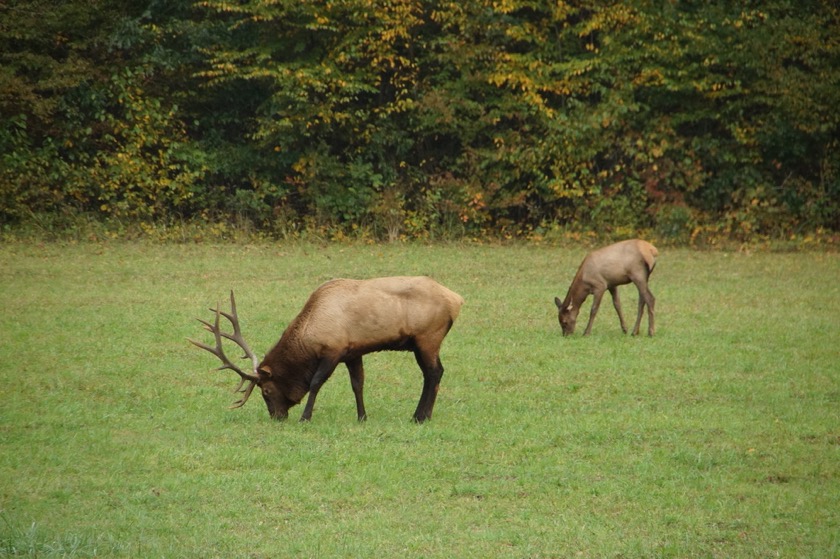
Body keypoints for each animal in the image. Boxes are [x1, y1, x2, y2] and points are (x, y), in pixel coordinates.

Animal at [189, 276, 466, 424]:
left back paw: (420, 416)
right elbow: (358, 384)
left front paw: (305, 417)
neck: (309, 337)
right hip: (426, 341)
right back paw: (421, 415)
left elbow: (315, 382)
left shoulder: (333, 350)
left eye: (266, 391)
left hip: (427, 337)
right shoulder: (354, 352)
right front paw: (362, 417)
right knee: (435, 373)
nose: (277, 416)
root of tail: (457, 300)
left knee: (434, 373)